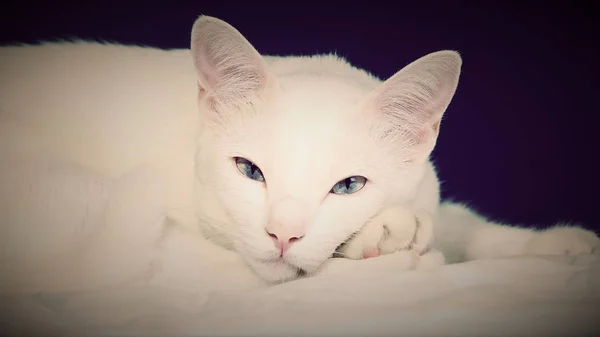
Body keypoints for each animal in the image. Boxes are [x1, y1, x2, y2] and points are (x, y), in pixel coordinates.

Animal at [0, 15, 596, 288]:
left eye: (349, 186)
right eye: (249, 171)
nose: (282, 235)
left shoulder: (432, 195)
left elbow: (462, 222)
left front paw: (559, 246)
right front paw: (390, 242)